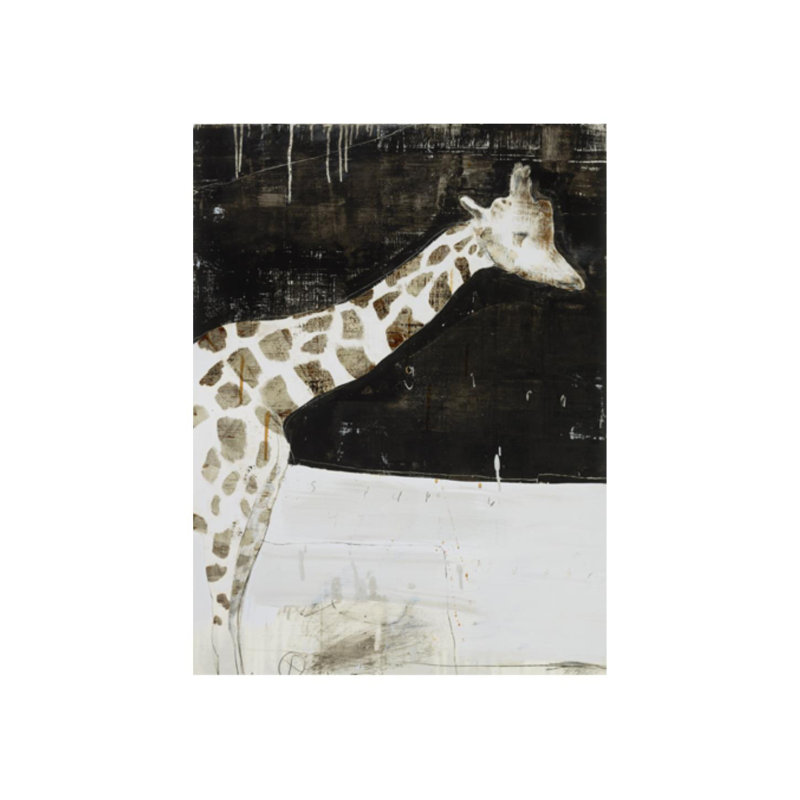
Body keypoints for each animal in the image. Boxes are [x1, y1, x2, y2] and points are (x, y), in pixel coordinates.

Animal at [193, 162, 585, 674]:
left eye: (551, 232)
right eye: (518, 234)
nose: (577, 281)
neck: (273, 389)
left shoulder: (258, 501)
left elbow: (234, 617)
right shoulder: (218, 504)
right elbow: (221, 624)